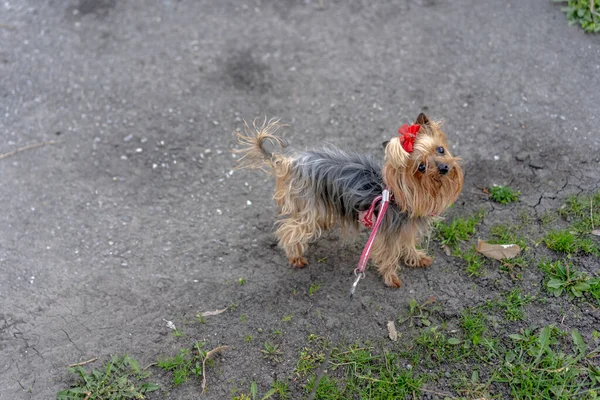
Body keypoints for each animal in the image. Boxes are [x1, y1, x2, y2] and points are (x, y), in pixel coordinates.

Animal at [236, 113, 464, 288]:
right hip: (310, 206)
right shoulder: (388, 231)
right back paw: (296, 257)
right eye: (421, 167)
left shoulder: (405, 228)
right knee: (289, 230)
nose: (444, 168)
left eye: (440, 149)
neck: (397, 196)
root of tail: (292, 163)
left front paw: (416, 258)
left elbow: (407, 244)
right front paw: (391, 278)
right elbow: (389, 254)